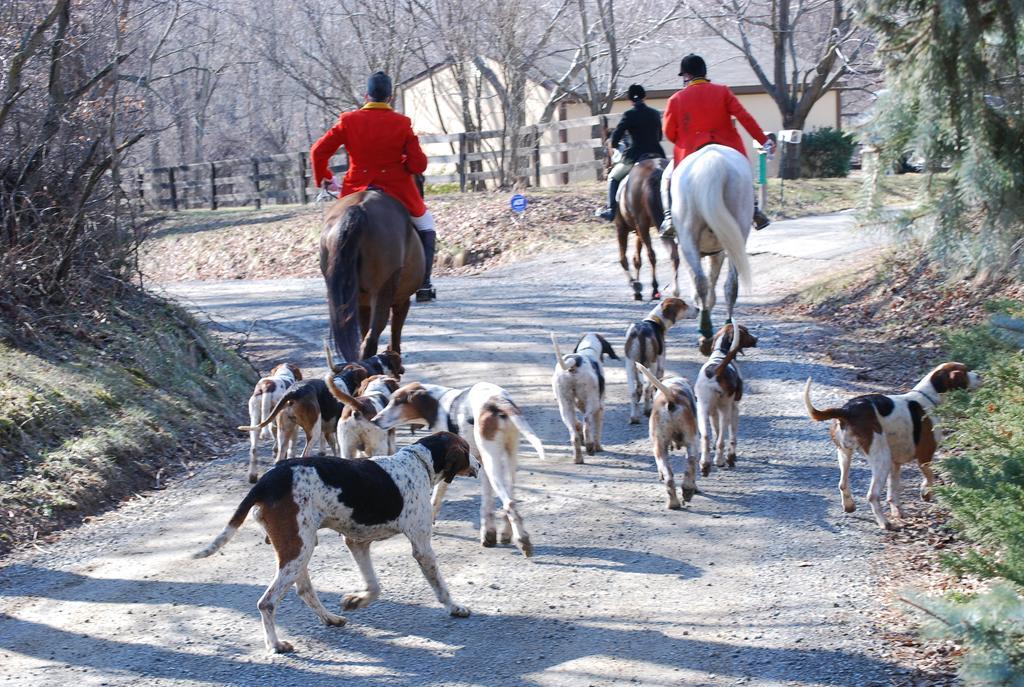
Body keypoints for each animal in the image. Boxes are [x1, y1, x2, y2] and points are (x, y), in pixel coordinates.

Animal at [323, 188, 428, 360]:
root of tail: (359, 207)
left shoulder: (363, 305)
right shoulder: (402, 301)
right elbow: (395, 333)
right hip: (383, 291)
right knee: (371, 340)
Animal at [614, 161, 679, 303]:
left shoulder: (622, 227)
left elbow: (623, 259)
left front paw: (635, 285)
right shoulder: (638, 230)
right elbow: (637, 260)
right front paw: (637, 290)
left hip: (641, 224)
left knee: (652, 255)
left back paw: (655, 289)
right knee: (674, 254)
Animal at [663, 146, 753, 360]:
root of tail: (714, 164)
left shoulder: (693, 251)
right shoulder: (717, 251)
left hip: (688, 240)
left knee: (701, 283)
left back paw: (705, 335)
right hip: (737, 234)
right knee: (731, 285)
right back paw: (729, 329)